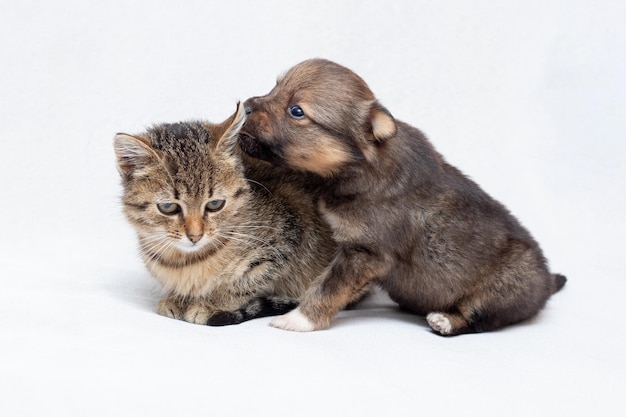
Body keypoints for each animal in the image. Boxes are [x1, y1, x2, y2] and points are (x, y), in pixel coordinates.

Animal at [114, 103, 334, 324]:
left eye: (215, 204)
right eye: (168, 208)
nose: (195, 236)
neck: (187, 261)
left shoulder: (288, 236)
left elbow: (244, 283)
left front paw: (210, 303)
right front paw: (177, 298)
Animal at [239, 57, 564, 334]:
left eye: (296, 111)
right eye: (275, 88)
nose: (245, 107)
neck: (360, 165)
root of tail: (548, 282)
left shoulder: (365, 253)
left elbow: (327, 286)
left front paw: (298, 319)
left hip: (503, 288)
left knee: (479, 317)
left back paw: (445, 320)